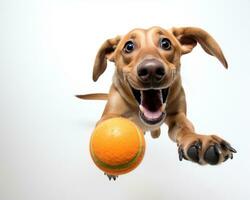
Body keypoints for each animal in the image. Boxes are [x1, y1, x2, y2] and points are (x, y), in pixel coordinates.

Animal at [77, 25, 237, 180]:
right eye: (129, 46)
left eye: (165, 43)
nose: (151, 70)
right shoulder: (110, 114)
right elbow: (107, 124)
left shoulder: (177, 116)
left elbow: (186, 127)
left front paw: (199, 140)